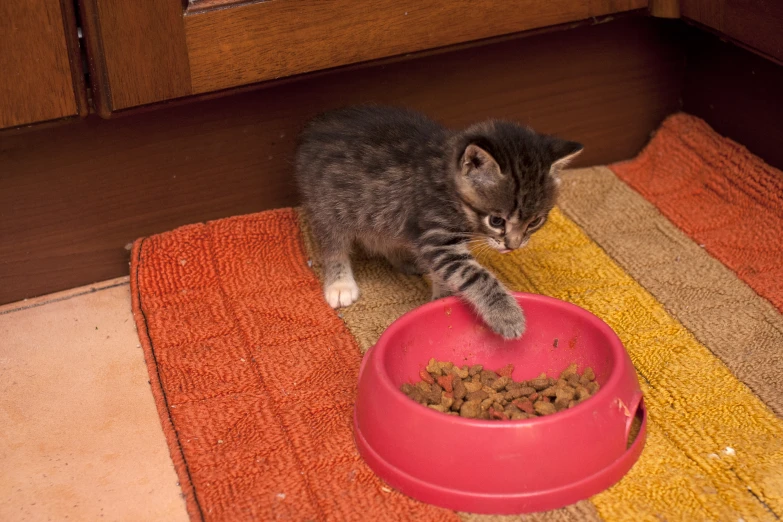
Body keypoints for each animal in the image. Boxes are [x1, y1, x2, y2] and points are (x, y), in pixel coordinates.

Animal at [294, 107, 580, 340]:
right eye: (496, 220)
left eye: (535, 222)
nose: (513, 246)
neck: (447, 178)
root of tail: (314, 127)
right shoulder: (437, 235)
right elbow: (474, 274)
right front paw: (506, 315)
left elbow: (446, 271)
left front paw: (443, 296)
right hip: (328, 207)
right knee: (333, 245)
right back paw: (340, 283)